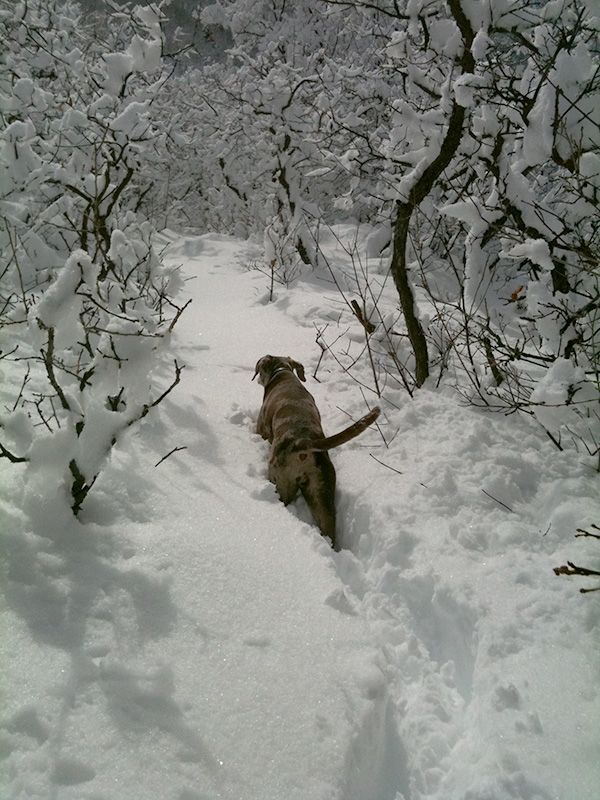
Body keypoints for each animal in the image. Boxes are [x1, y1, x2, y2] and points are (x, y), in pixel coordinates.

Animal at [253, 356, 380, 552]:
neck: (282, 372)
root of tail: (305, 443)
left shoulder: (262, 427)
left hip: (281, 482)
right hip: (321, 493)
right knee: (329, 529)